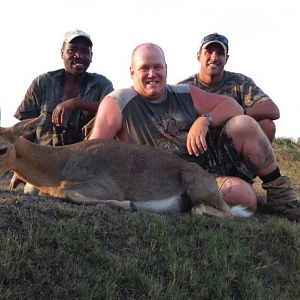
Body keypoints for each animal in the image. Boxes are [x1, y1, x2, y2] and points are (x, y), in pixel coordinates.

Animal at [0, 115, 248, 218]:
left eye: (2, 148)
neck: (59, 163)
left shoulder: (104, 185)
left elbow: (66, 192)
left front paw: (130, 204)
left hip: (197, 184)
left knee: (228, 213)